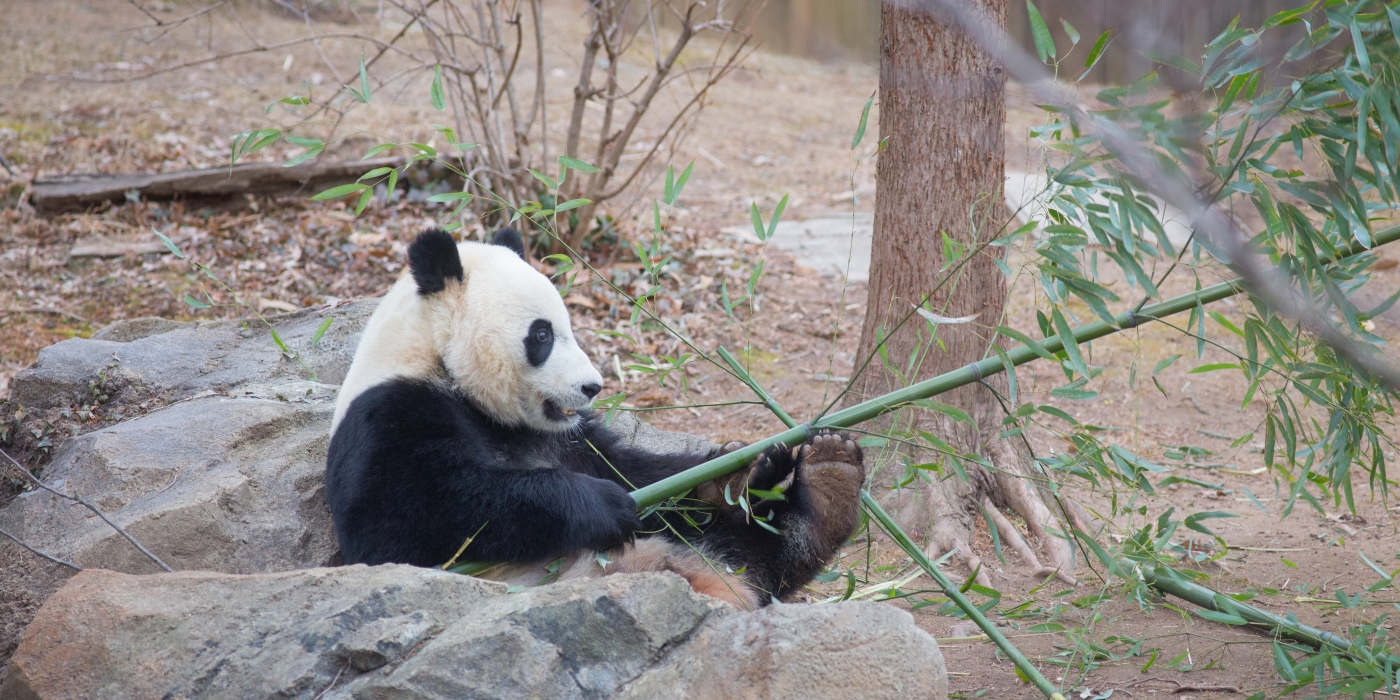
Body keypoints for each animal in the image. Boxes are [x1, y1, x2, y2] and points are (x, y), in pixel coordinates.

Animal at [326, 229, 862, 607]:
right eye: (541, 335)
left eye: (570, 325)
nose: (592, 387)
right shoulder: (389, 414)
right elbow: (408, 523)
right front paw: (603, 505)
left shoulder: (571, 439)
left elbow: (638, 471)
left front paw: (730, 473)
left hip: (692, 548)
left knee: (745, 545)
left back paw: (827, 480)